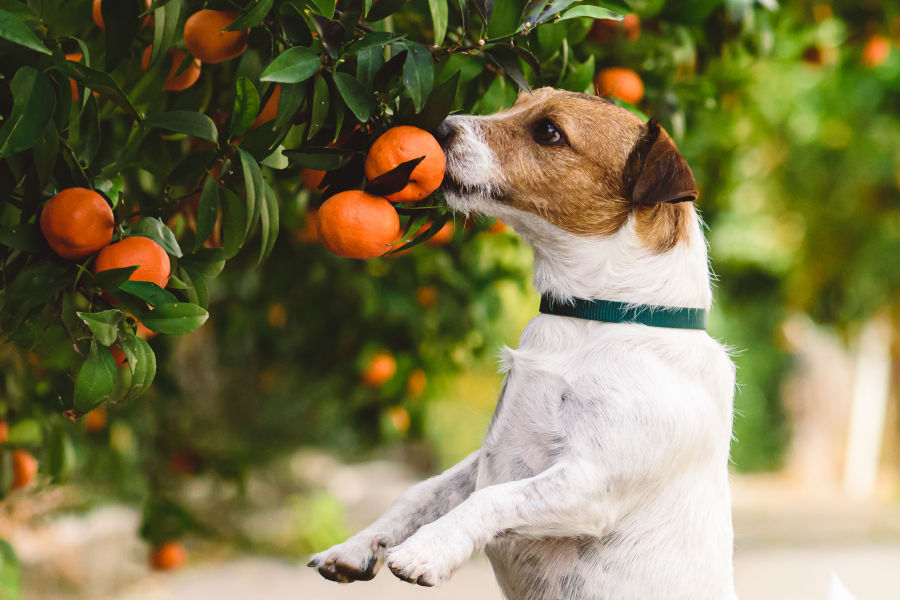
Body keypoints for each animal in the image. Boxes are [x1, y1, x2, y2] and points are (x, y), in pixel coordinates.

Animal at [310, 89, 740, 600]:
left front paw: (426, 551)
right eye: (518, 100)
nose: (440, 127)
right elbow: (419, 494)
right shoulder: (481, 461)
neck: (597, 316)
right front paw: (353, 548)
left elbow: (490, 499)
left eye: (549, 131)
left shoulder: (589, 483)